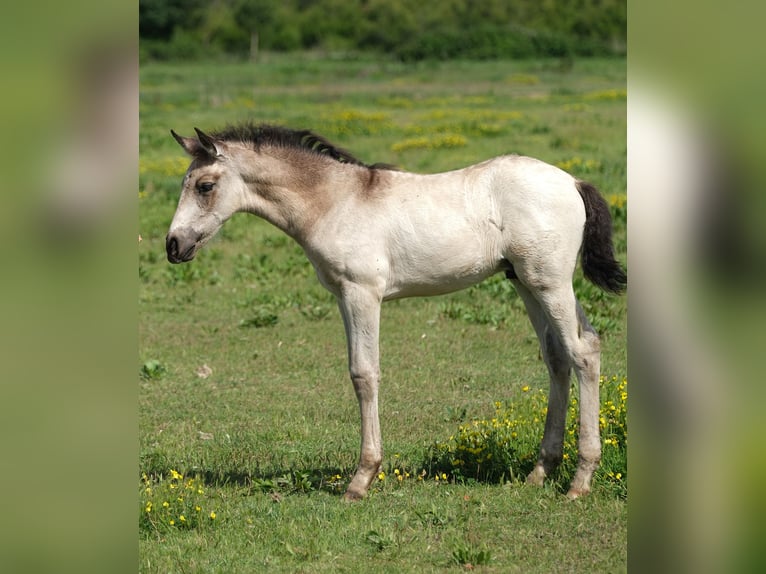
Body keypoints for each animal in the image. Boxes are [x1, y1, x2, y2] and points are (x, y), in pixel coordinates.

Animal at [165, 124, 628, 502]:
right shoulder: (343, 296)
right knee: (560, 355)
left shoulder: (362, 294)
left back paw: (580, 481)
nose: (173, 245)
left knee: (582, 352)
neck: (335, 202)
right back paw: (540, 471)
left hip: (549, 282)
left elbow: (363, 374)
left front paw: (362, 479)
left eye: (204, 185)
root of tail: (572, 181)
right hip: (526, 283)